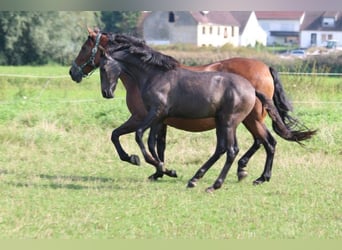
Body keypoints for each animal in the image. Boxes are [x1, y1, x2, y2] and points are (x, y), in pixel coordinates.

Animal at [68, 29, 316, 188]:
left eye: (85, 47)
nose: (73, 72)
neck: (152, 74)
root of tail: (265, 68)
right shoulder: (159, 119)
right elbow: (152, 143)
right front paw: (161, 170)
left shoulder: (145, 116)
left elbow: (130, 137)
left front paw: (150, 165)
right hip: (238, 121)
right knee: (261, 143)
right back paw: (253, 176)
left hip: (243, 120)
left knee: (254, 144)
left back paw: (231, 176)